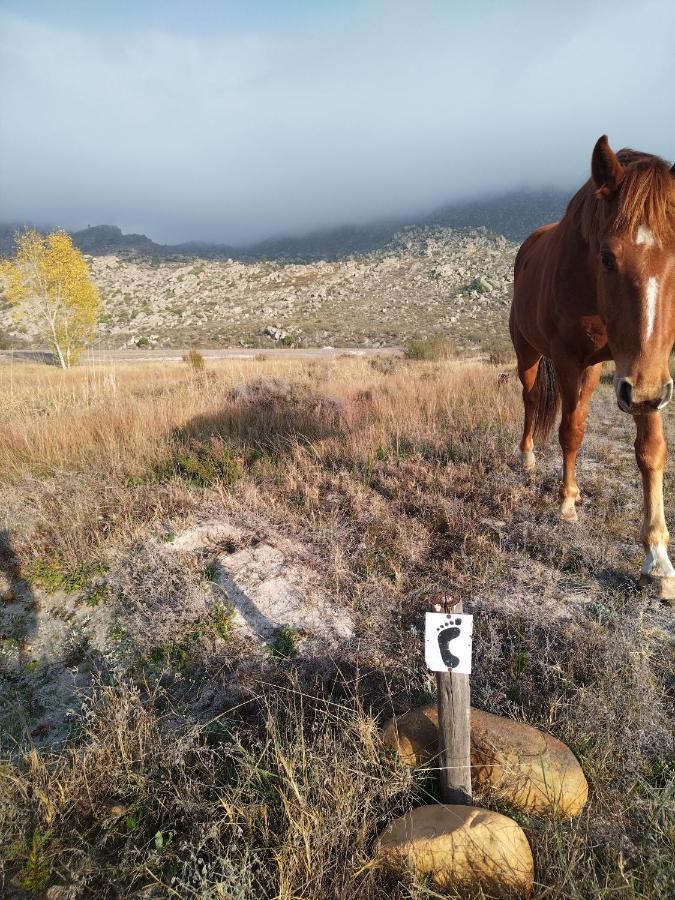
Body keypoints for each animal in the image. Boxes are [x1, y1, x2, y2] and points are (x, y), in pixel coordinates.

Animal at [512, 135, 675, 596]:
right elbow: (570, 431)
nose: (643, 393)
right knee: (532, 400)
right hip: (529, 354)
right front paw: (566, 502)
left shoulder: (647, 371)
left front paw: (658, 559)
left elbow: (651, 450)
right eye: (607, 257)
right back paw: (528, 457)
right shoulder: (572, 359)